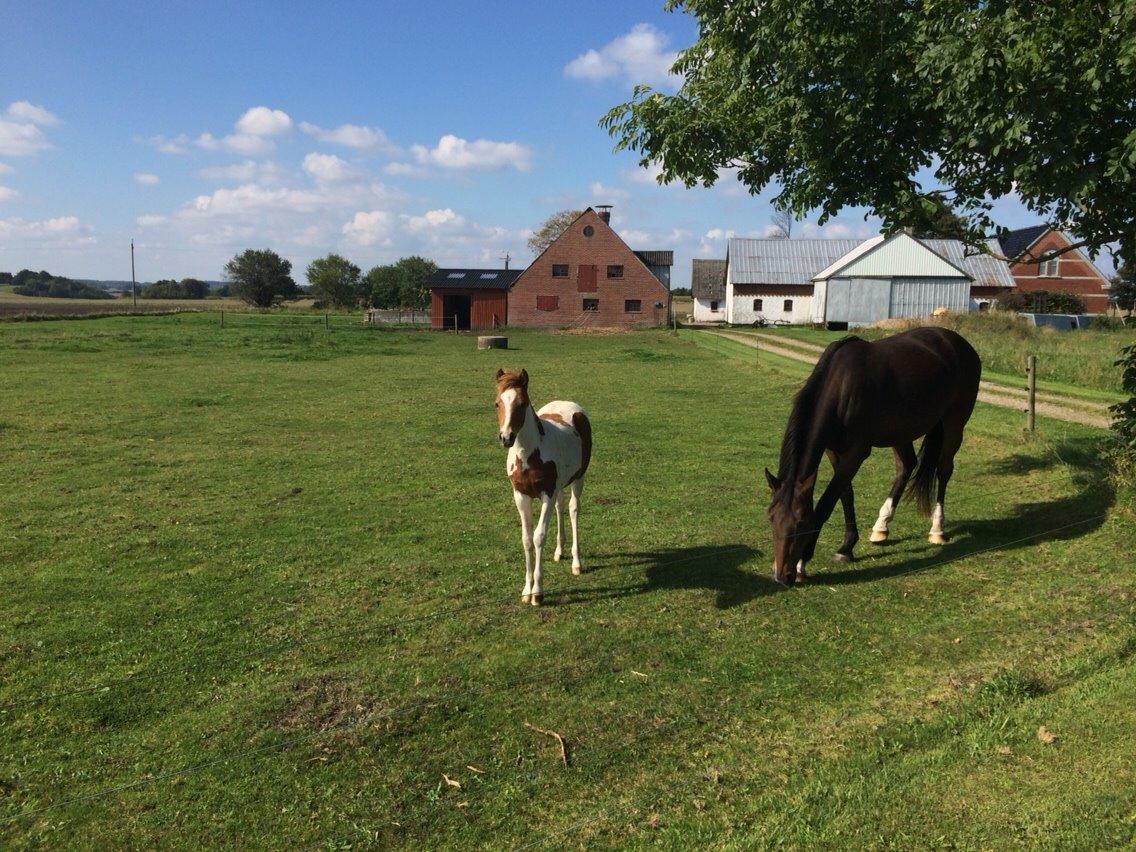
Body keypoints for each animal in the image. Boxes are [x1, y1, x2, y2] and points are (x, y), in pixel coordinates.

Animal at [493, 368, 590, 608]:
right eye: (497, 403)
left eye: (522, 403)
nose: (506, 437)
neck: (528, 455)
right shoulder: (521, 495)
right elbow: (527, 539)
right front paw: (526, 590)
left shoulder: (547, 493)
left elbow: (538, 536)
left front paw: (537, 592)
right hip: (560, 485)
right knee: (560, 507)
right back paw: (559, 551)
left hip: (578, 478)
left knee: (573, 510)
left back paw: (576, 562)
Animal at [767, 327, 981, 586]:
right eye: (771, 518)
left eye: (800, 523)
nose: (781, 576)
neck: (842, 386)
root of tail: (959, 343)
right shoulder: (833, 450)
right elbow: (845, 495)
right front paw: (847, 547)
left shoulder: (857, 452)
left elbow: (827, 501)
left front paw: (802, 563)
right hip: (901, 431)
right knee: (906, 466)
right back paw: (881, 527)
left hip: (954, 423)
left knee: (943, 470)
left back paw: (937, 529)